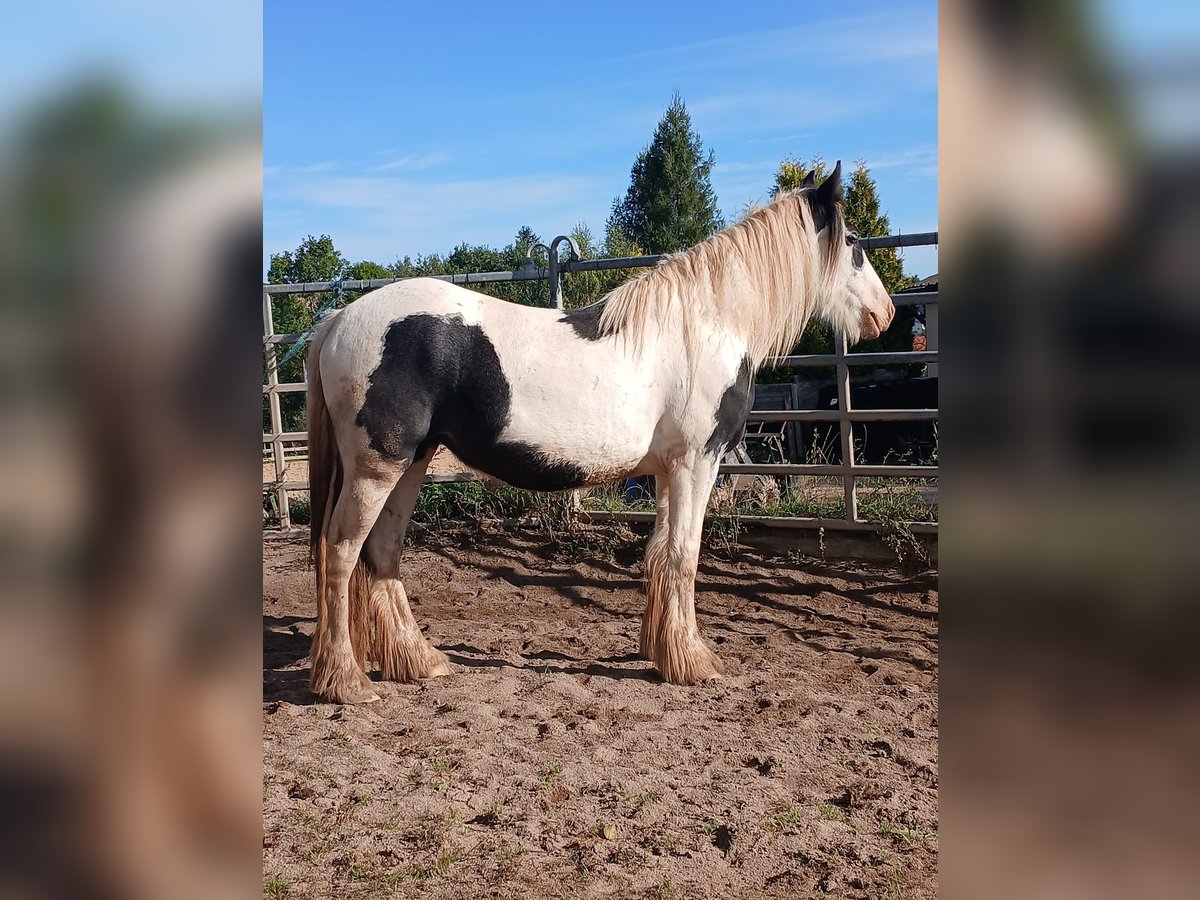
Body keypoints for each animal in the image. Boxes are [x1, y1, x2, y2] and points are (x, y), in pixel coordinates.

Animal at [304, 162, 897, 705]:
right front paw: (696, 664)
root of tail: (340, 319)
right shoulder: (696, 463)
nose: (886, 313)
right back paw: (346, 681)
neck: (709, 324)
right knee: (340, 551)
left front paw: (663, 654)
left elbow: (660, 554)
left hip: (412, 463)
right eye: (854, 244)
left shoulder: (668, 471)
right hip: (377, 469)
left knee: (382, 551)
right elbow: (684, 556)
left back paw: (419, 661)